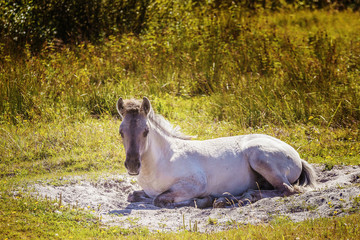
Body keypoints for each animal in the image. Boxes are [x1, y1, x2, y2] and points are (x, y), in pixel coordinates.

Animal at [116, 96, 316, 207]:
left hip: (259, 156)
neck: (163, 160)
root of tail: (296, 155)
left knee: (287, 190)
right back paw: (231, 198)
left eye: (146, 131)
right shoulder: (147, 191)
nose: (133, 165)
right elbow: (134, 196)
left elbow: (159, 199)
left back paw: (235, 199)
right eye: (121, 132)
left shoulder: (195, 184)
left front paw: (205, 200)